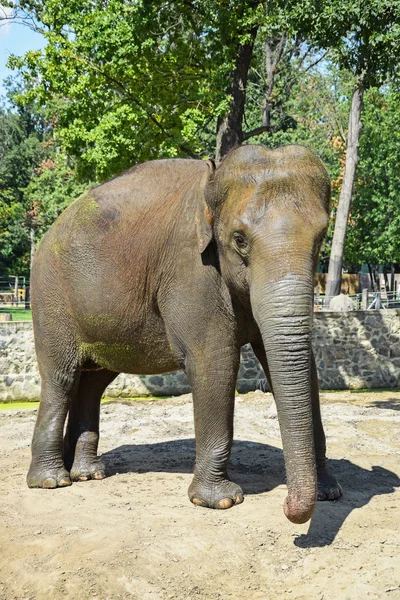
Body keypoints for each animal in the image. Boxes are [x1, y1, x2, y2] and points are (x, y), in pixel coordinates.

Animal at [28, 143, 340, 524]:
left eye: (321, 237)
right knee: (61, 377)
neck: (213, 179)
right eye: (239, 240)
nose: (288, 510)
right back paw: (52, 481)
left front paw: (331, 492)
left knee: (93, 381)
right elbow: (215, 363)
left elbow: (302, 365)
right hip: (50, 297)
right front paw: (220, 501)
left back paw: (89, 474)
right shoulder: (189, 267)